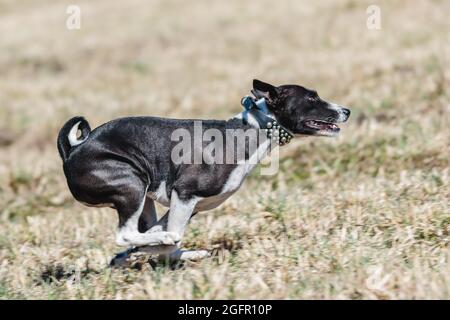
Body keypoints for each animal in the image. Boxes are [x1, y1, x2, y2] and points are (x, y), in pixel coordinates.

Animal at [57, 79, 352, 262]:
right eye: (312, 97)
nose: (346, 110)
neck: (249, 131)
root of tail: (73, 150)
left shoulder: (190, 205)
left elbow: (156, 243)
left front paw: (133, 255)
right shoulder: (185, 194)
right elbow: (168, 240)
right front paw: (149, 248)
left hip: (143, 197)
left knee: (144, 234)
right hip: (132, 186)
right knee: (127, 234)